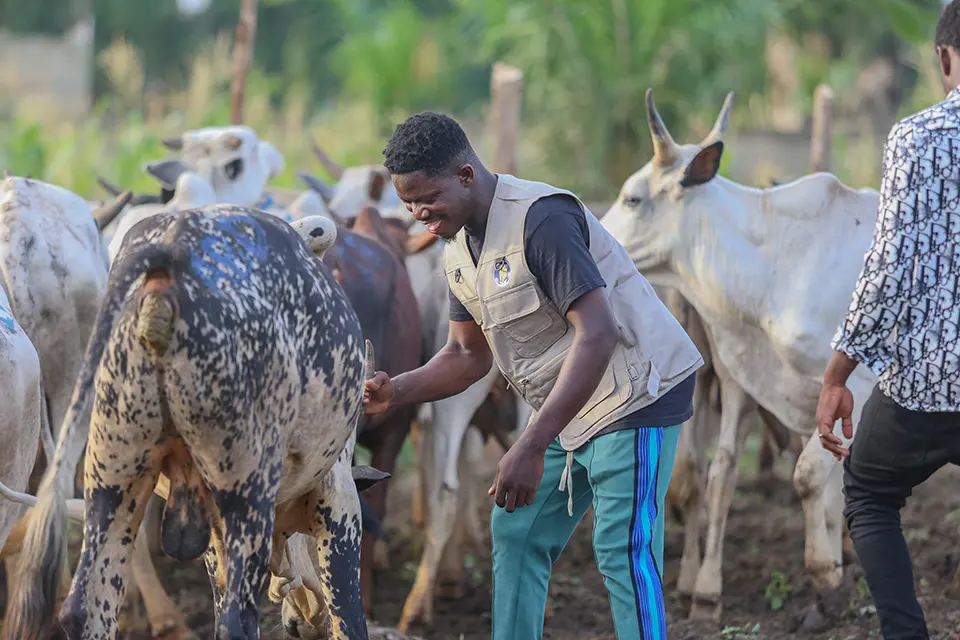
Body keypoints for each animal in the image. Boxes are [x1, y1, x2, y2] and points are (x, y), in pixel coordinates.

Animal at [2, 206, 386, 640]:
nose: (301, 621)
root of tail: (171, 251)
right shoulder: (340, 506)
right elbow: (349, 620)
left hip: (112, 477)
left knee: (85, 608)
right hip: (247, 490)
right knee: (238, 620)